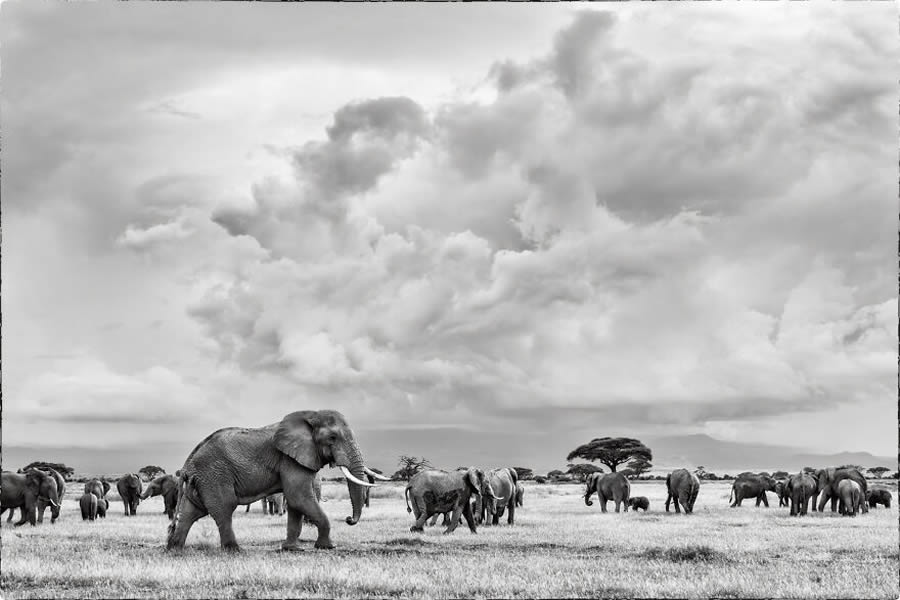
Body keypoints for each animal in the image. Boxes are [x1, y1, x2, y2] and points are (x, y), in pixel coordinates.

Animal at [165, 410, 386, 552]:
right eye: (332, 438)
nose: (349, 519)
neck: (310, 415)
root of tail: (188, 464)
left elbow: (296, 502)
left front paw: (292, 549)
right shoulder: (289, 459)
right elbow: (299, 497)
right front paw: (327, 547)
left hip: (201, 481)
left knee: (191, 513)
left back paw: (174, 549)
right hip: (214, 475)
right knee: (224, 509)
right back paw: (235, 550)